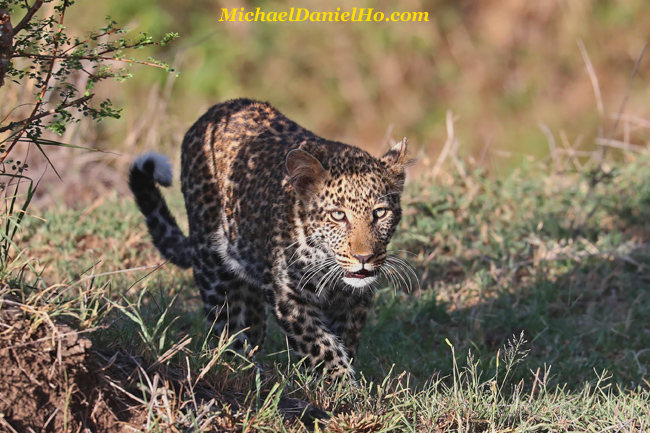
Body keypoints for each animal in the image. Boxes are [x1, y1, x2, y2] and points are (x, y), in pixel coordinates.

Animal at [128, 98, 408, 378]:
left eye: (380, 213)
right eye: (338, 215)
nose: (364, 257)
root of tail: (218, 109)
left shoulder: (354, 300)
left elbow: (344, 338)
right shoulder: (288, 293)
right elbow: (320, 345)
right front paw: (340, 383)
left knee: (250, 321)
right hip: (212, 264)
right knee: (223, 320)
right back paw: (236, 365)